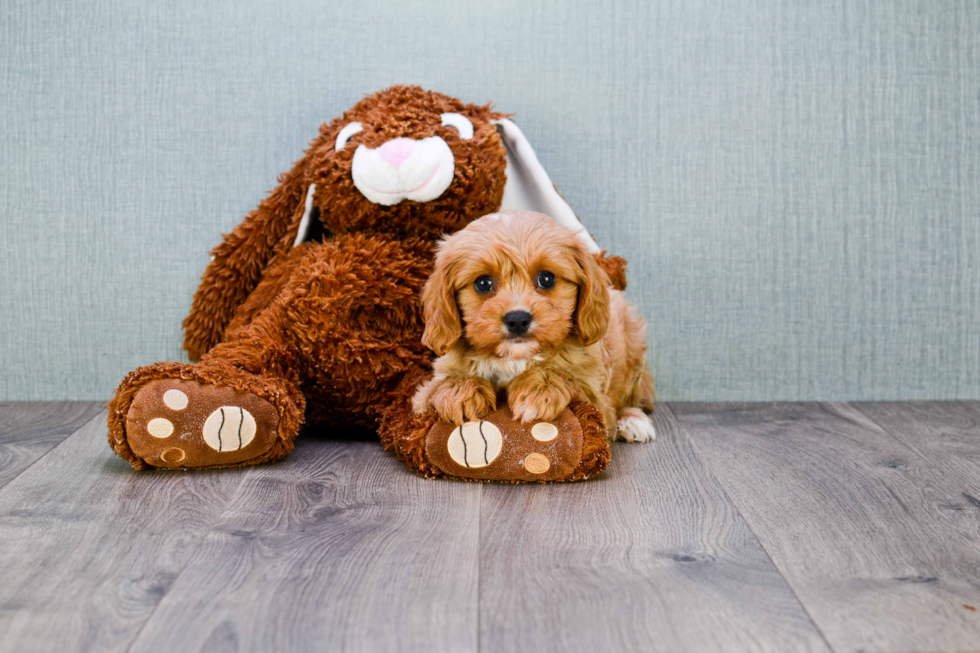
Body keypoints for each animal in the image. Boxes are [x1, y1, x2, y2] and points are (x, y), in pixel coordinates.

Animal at [410, 209, 656, 444]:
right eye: (483, 283)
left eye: (546, 279)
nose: (517, 319)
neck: (516, 358)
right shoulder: (422, 395)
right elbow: (439, 385)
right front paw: (460, 390)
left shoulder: (596, 397)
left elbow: (568, 377)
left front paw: (538, 388)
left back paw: (633, 421)